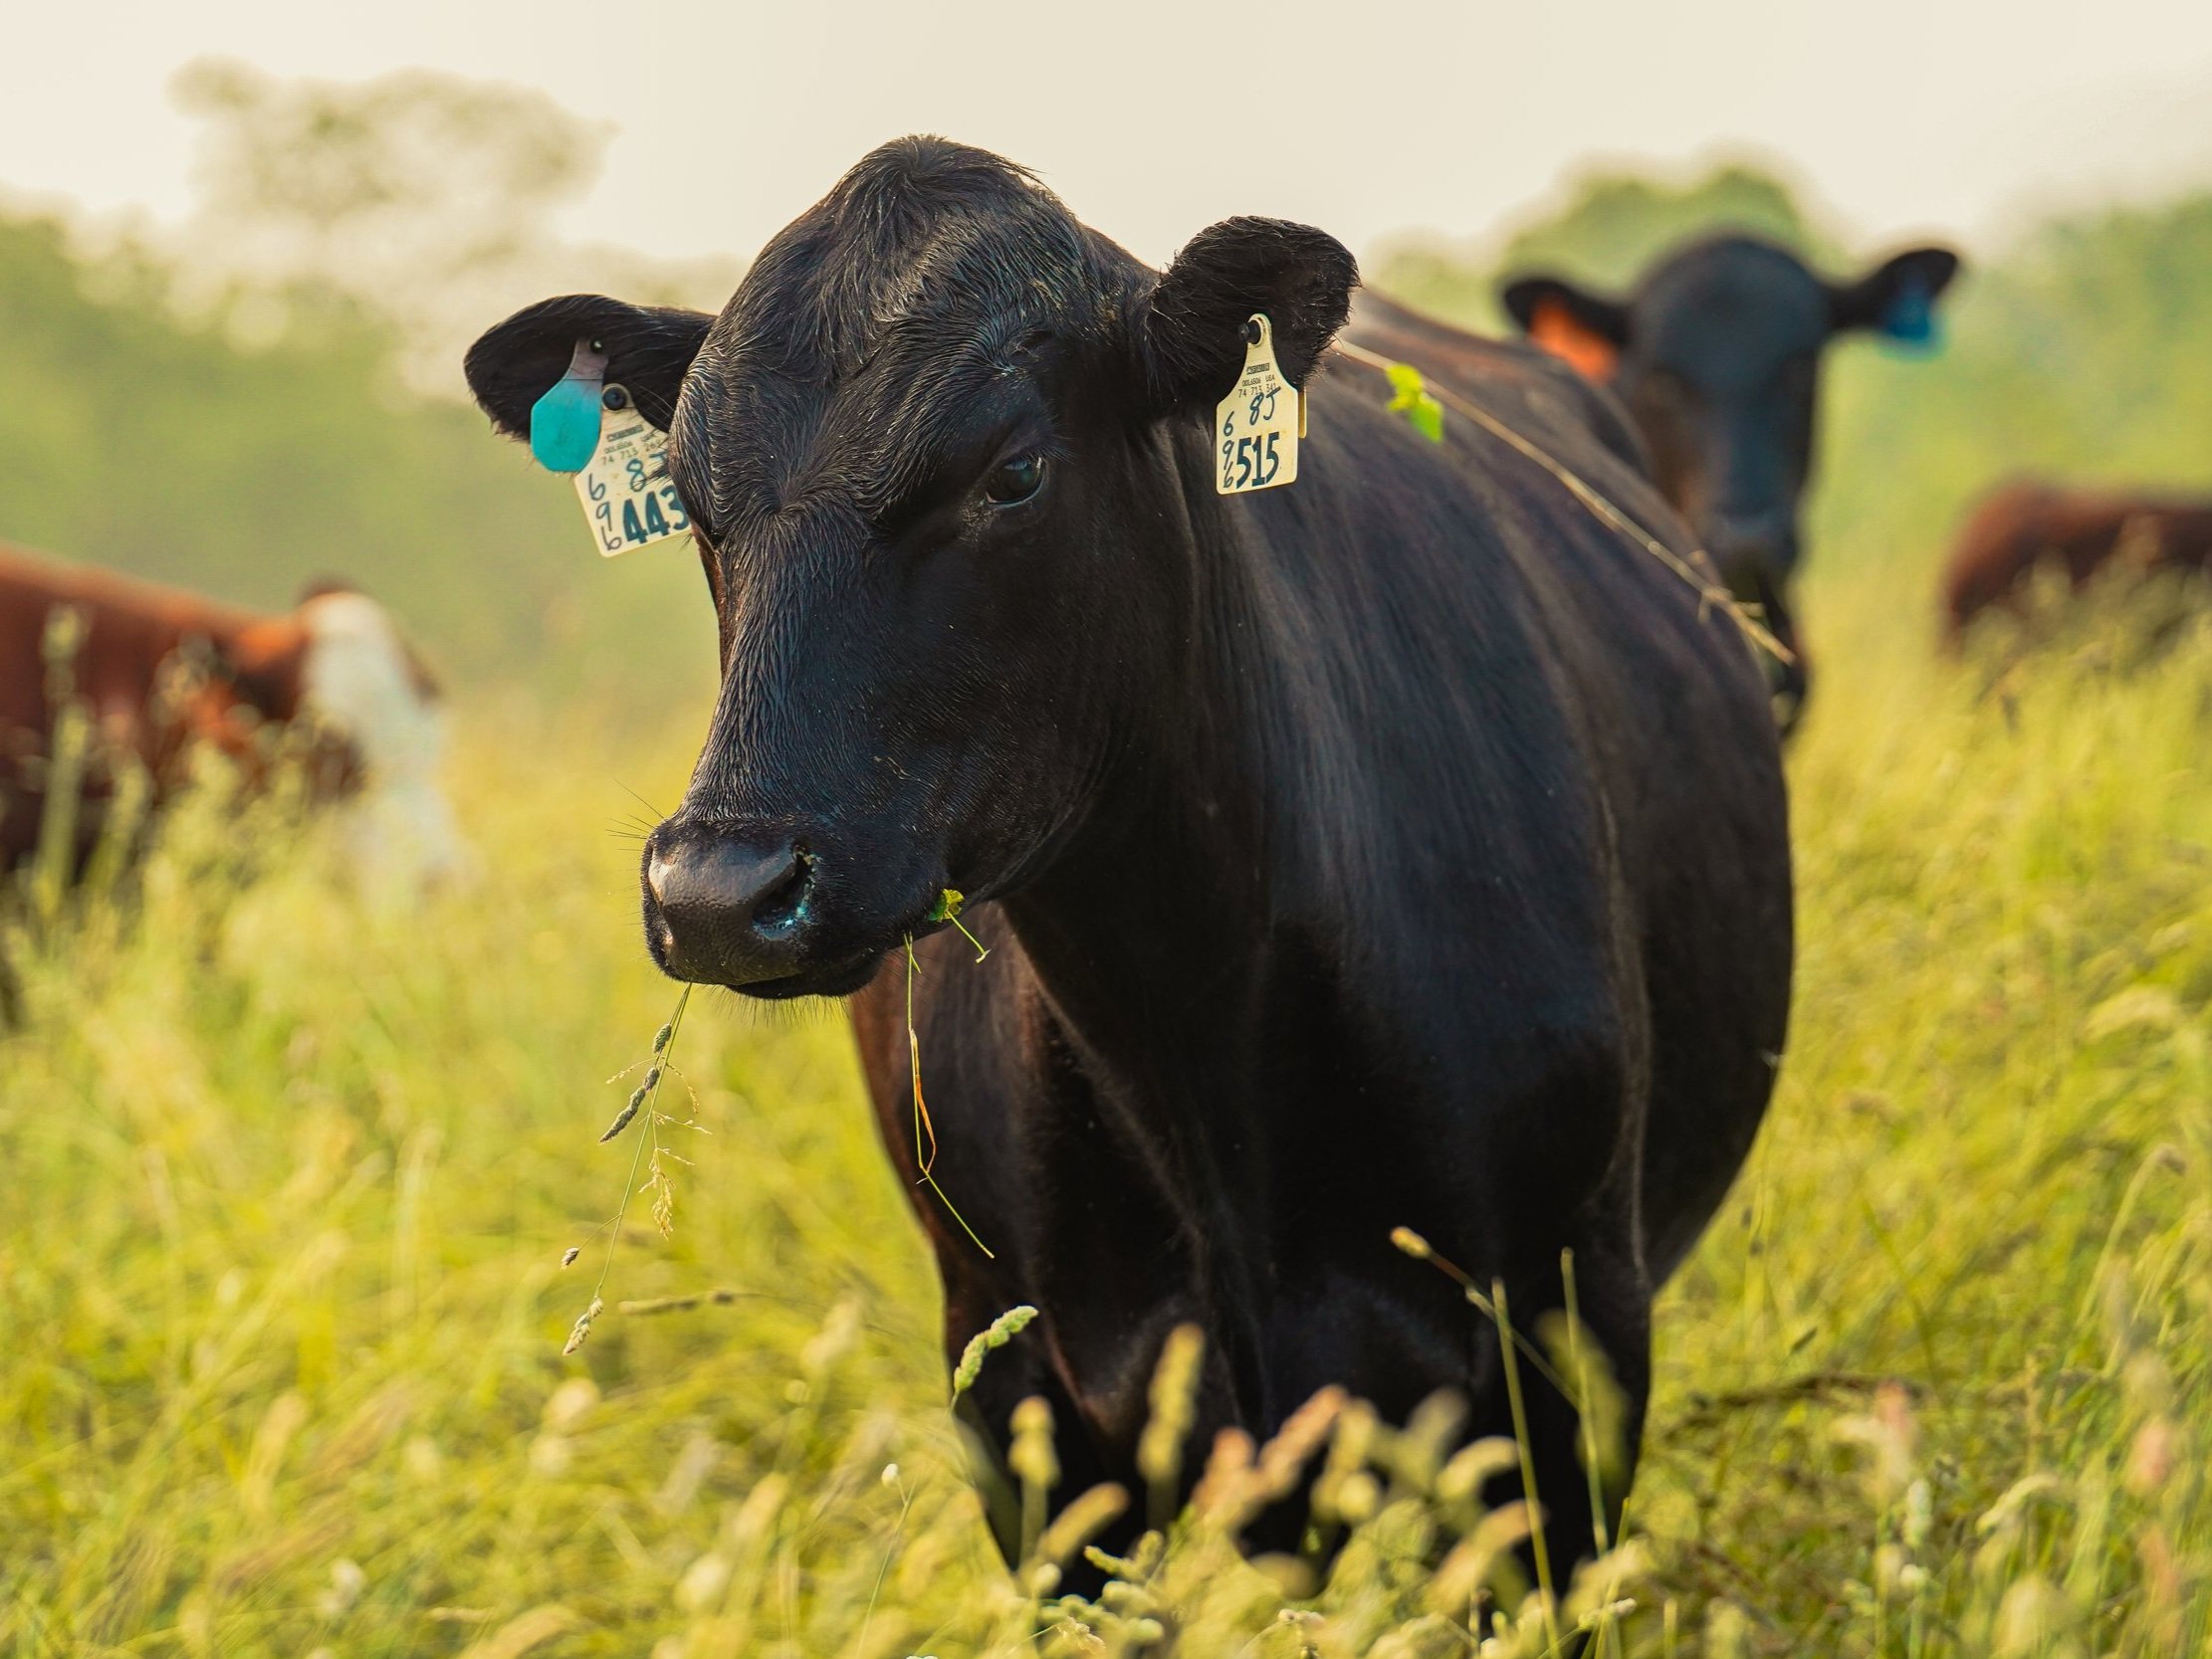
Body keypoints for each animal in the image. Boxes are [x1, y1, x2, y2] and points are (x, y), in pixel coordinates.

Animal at [465, 137, 1793, 1595]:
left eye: (1013, 473)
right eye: (695, 504)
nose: (718, 891)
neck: (1198, 1048)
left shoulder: (1565, 1361)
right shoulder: (1021, 1397)